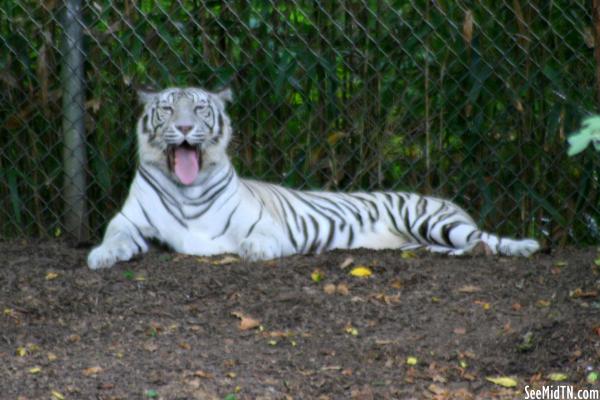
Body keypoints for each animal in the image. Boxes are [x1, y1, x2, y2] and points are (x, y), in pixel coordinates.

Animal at [86, 86, 540, 270]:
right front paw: (102, 256)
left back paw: (515, 247)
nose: (182, 128)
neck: (187, 189)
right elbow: (114, 236)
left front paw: (253, 251)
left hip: (434, 220)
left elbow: (256, 239)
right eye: (166, 109)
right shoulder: (129, 221)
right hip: (423, 237)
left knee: (484, 237)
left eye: (198, 109)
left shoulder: (264, 223)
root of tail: (446, 199)